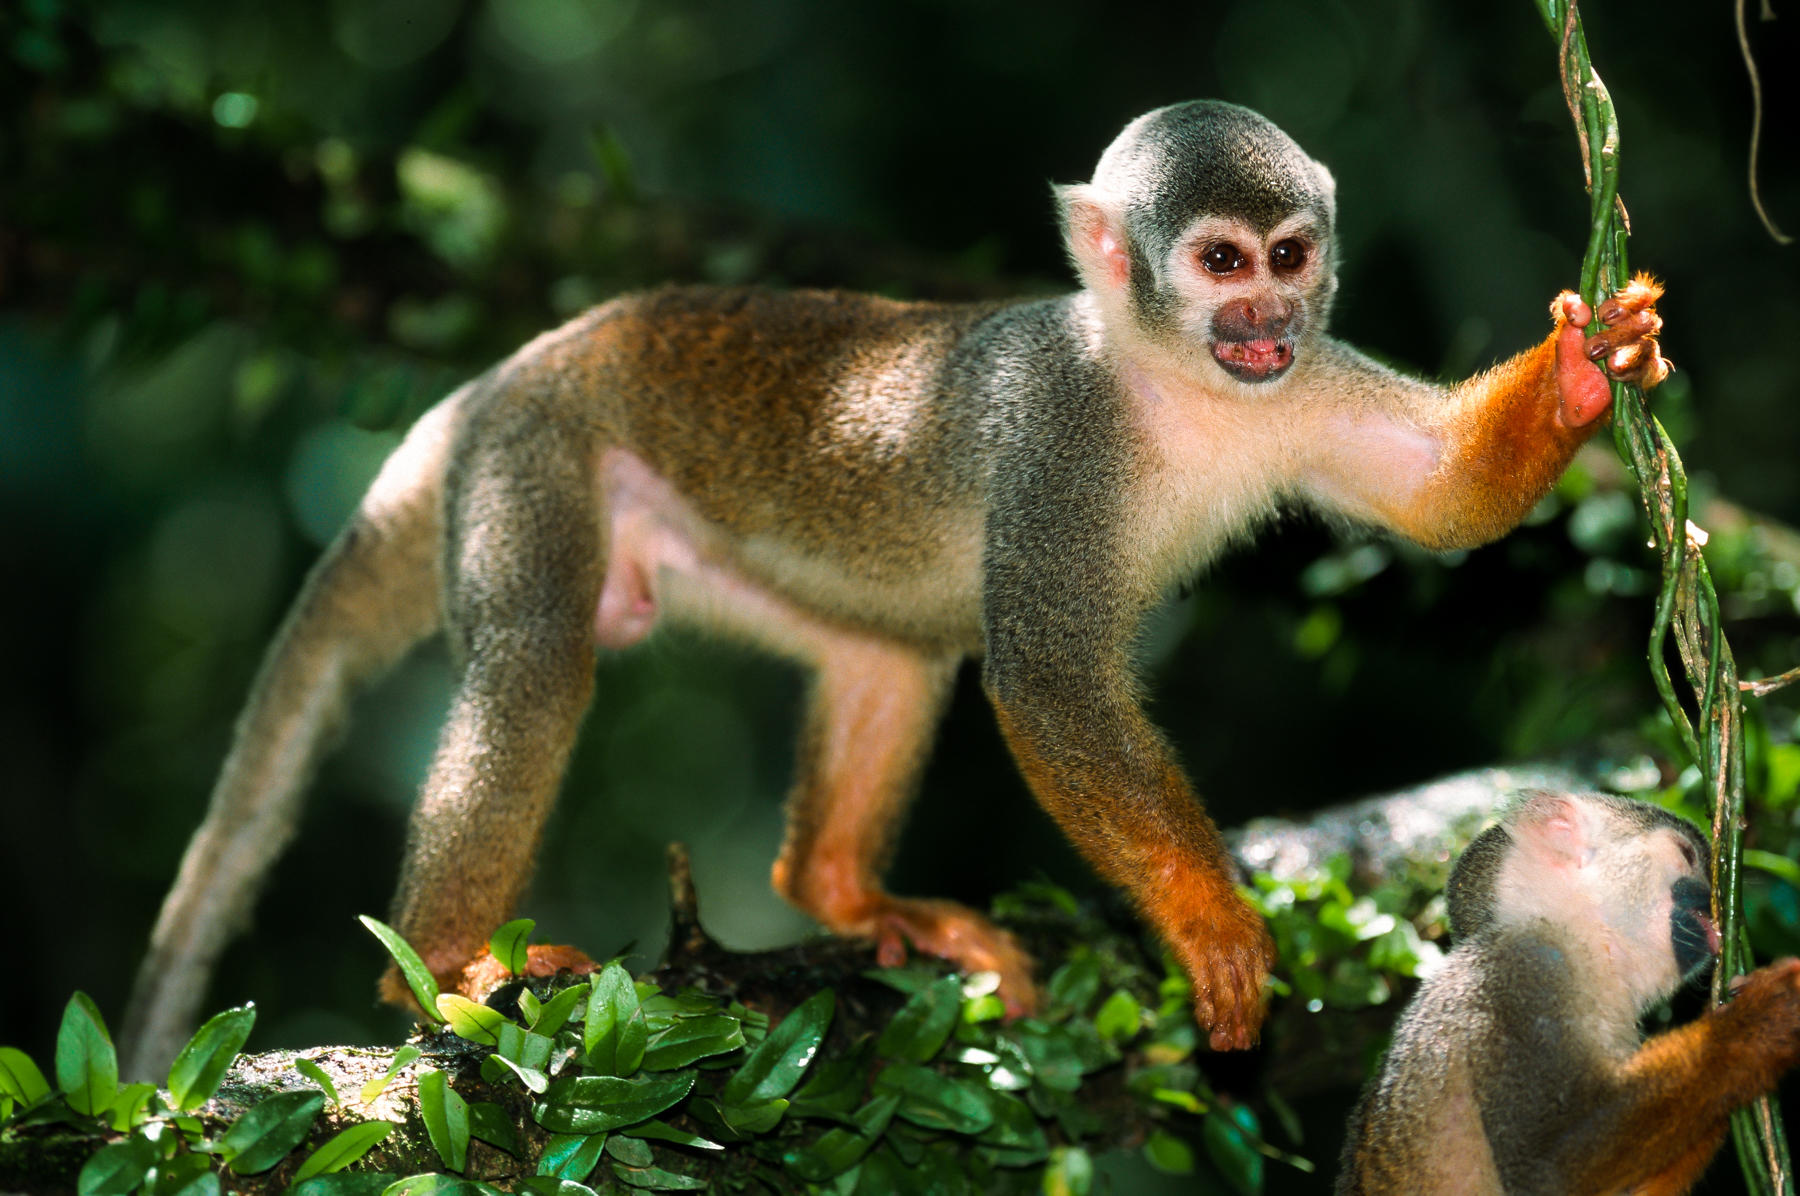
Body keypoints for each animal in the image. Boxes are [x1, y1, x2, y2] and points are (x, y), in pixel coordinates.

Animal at [123, 100, 1670, 1073]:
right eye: (1218, 260)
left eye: (1289, 256)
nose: (1262, 317)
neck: (1171, 385)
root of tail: (494, 383)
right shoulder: (1057, 442)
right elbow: (1044, 675)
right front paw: (1212, 923)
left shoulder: (1309, 384)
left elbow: (1443, 502)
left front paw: (1589, 363)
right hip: (537, 465)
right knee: (538, 662)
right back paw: (438, 968)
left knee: (896, 652)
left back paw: (841, 893)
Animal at [1339, 792, 1800, 1196]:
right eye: (1687, 855)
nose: (1713, 899)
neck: (1583, 942)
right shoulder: (1523, 972)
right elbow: (1545, 1168)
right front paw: (1757, 1026)